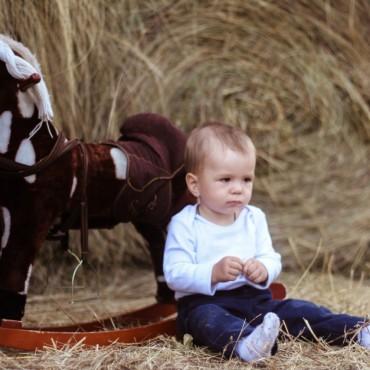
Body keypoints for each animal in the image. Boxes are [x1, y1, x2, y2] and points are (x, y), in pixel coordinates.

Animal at [0, 34, 191, 320]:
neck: (30, 150)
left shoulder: (31, 218)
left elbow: (14, 275)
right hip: (149, 220)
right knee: (160, 248)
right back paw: (165, 300)